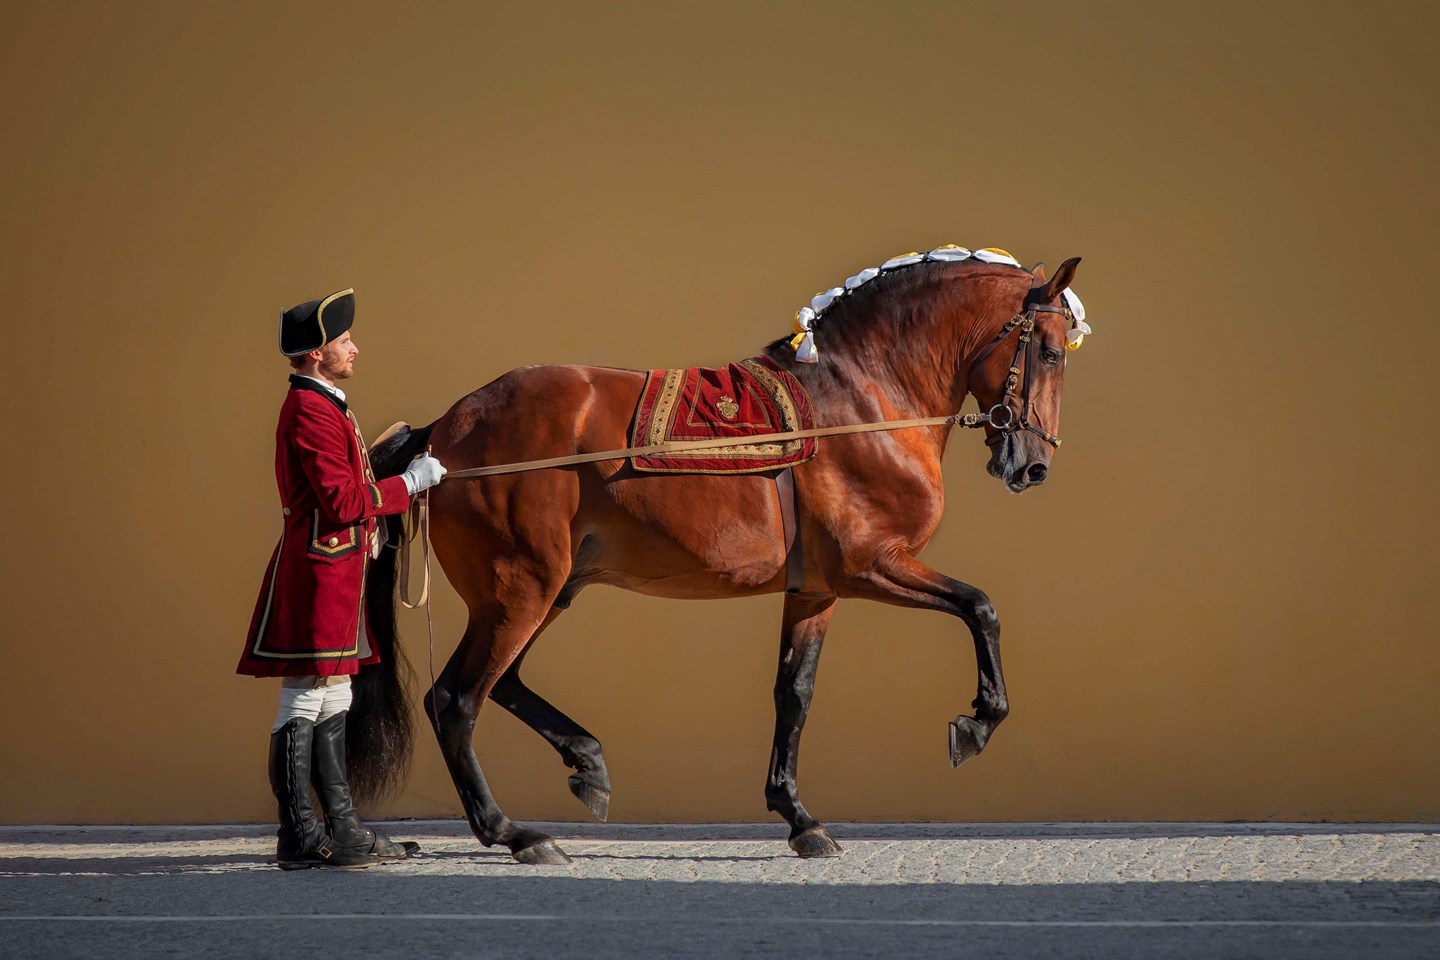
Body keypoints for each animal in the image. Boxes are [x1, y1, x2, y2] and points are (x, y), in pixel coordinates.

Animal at [351, 250, 1082, 863]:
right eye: (1047, 352)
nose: (1034, 465)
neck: (864, 402)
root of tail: (443, 434)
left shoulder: (816, 590)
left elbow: (794, 694)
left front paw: (799, 818)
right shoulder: (871, 565)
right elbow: (981, 608)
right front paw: (977, 722)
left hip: (545, 591)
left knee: (497, 685)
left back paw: (586, 763)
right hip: (519, 590)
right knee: (457, 699)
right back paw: (513, 832)